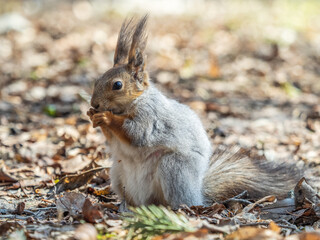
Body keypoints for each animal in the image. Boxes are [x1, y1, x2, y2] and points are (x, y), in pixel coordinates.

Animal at [87, 15, 300, 209]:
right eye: (97, 80)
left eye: (117, 85)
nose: (95, 104)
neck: (130, 104)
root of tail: (197, 193)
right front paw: (92, 116)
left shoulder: (150, 117)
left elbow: (135, 133)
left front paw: (106, 117)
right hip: (117, 172)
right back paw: (125, 206)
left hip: (174, 168)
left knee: (175, 199)